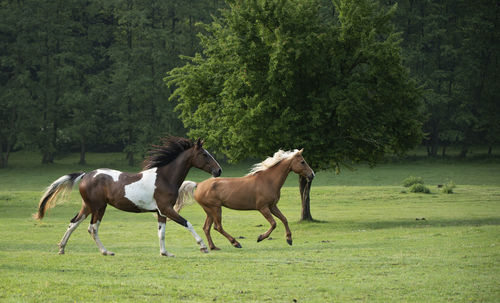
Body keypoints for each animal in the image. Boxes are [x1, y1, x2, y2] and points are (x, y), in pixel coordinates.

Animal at [34, 137, 222, 256]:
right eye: (204, 154)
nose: (218, 170)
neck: (165, 178)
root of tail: (86, 175)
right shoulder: (167, 209)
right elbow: (187, 223)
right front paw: (203, 247)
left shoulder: (161, 212)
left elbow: (161, 233)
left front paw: (165, 253)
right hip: (99, 207)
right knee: (92, 228)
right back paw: (106, 251)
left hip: (88, 207)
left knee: (73, 223)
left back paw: (62, 248)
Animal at [178, 148, 314, 251]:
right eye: (302, 162)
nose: (312, 174)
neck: (269, 181)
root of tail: (199, 184)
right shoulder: (263, 208)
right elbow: (274, 223)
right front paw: (260, 237)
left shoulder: (272, 206)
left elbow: (284, 219)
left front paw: (289, 239)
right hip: (215, 209)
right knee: (218, 227)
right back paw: (235, 243)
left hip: (210, 211)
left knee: (207, 228)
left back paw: (213, 247)